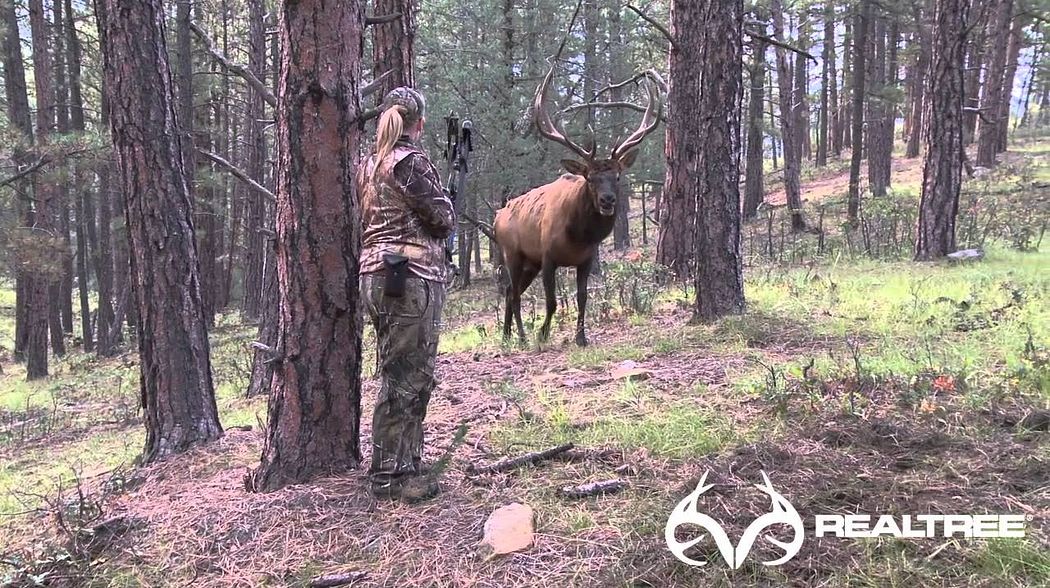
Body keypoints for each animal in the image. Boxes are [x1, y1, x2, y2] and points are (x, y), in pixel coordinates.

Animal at [493, 65, 659, 344]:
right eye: (589, 178)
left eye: (617, 176)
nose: (607, 200)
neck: (579, 236)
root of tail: (497, 216)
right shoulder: (548, 256)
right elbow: (551, 302)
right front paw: (543, 334)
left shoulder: (586, 259)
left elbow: (582, 297)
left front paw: (581, 337)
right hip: (513, 253)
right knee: (513, 294)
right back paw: (523, 336)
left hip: (530, 263)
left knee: (507, 291)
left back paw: (506, 336)